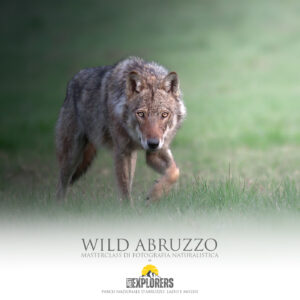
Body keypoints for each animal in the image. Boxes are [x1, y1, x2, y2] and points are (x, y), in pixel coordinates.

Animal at [55, 56, 185, 204]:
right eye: (141, 114)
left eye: (164, 114)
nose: (152, 143)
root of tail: (72, 82)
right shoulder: (121, 152)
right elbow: (124, 189)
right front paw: (128, 208)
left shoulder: (156, 152)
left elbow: (175, 172)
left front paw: (154, 194)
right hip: (71, 156)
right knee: (61, 184)